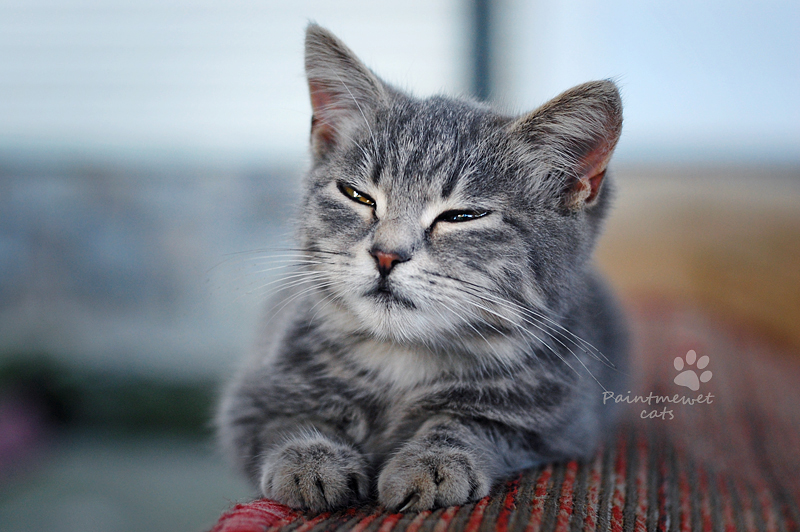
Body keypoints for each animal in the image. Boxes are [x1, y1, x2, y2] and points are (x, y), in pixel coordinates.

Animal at [217, 23, 624, 512]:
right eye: (358, 195)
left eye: (462, 216)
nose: (386, 254)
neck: (402, 359)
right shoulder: (247, 403)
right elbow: (288, 422)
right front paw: (309, 461)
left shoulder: (561, 424)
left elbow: (467, 424)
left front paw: (434, 462)